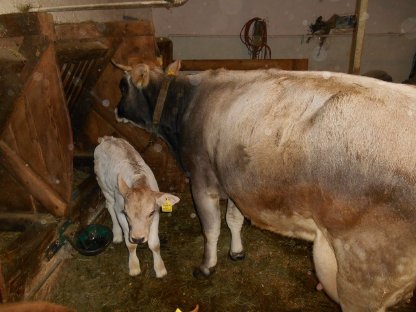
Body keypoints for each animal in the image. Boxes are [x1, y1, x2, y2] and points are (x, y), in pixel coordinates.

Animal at [93, 135, 180, 276]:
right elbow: (130, 244)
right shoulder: (120, 211)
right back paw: (117, 234)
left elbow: (155, 244)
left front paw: (160, 269)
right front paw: (134, 267)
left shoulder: (156, 214)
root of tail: (107, 139)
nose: (138, 238)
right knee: (109, 205)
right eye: (126, 213)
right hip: (103, 184)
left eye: (150, 213)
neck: (138, 180)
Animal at [112, 59, 416, 312]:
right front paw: (236, 252)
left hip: (364, 275)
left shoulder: (201, 179)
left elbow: (211, 228)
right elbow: (234, 220)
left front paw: (207, 267)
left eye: (123, 85)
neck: (185, 107)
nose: (115, 110)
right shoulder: (235, 182)